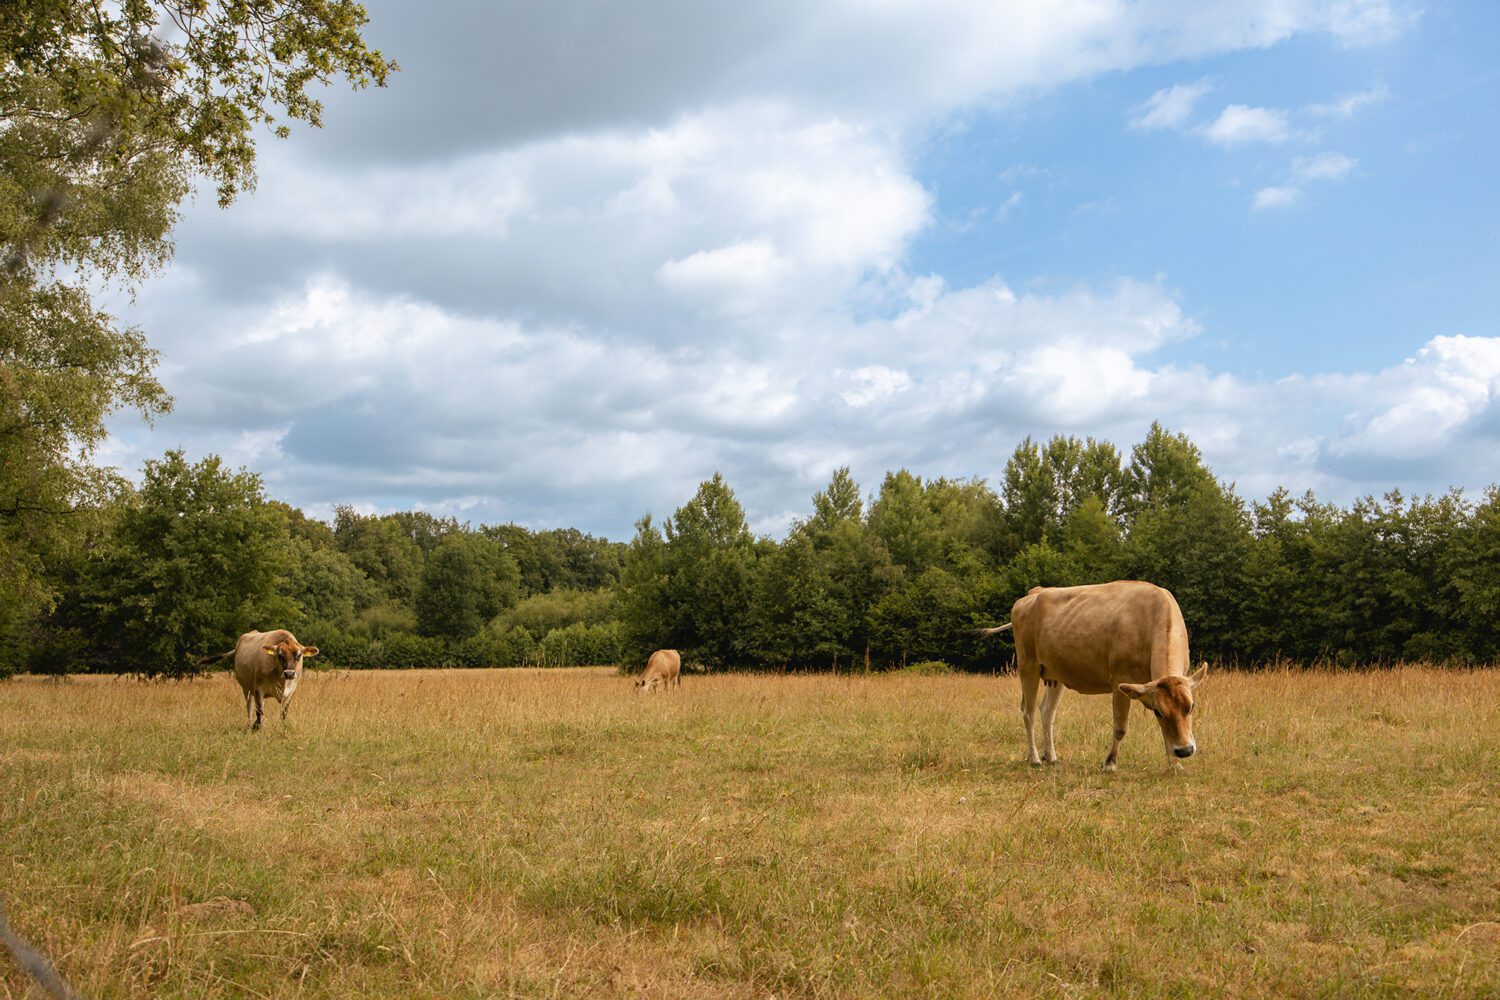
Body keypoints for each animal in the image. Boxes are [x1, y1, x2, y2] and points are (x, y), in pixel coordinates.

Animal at [972, 581, 1206, 773]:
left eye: (1191, 707)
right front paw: (1110, 763)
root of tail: (1034, 593)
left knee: (1047, 711)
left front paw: (1174, 764)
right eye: (1158, 711)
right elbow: (1120, 727)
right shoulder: (1120, 679)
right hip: (1027, 665)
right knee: (1028, 712)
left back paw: (1051, 757)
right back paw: (1035, 758)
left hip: (1055, 674)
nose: (1185, 750)